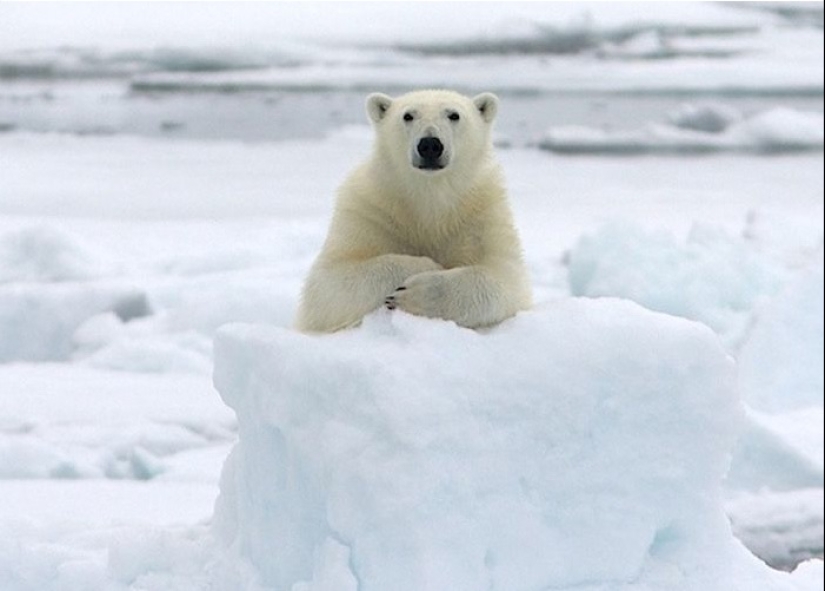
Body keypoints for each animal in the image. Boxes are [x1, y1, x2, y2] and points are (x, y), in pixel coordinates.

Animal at [292, 88, 532, 332]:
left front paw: (418, 294)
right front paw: (428, 265)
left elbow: (506, 279)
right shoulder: (369, 210)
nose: (430, 145)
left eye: (454, 115)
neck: (429, 195)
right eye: (408, 115)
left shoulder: (481, 215)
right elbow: (327, 284)